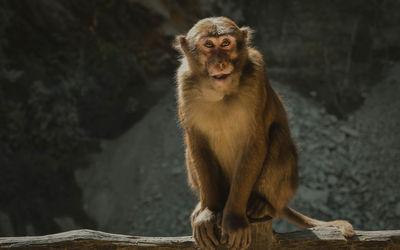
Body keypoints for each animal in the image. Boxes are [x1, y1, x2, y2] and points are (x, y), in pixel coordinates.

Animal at [173, 16, 354, 249]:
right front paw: (209, 212)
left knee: (278, 138)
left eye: (226, 43)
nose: (221, 62)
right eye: (209, 45)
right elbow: (196, 144)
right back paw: (205, 207)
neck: (221, 93)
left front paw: (233, 220)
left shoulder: (256, 76)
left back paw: (261, 203)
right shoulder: (184, 84)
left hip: (280, 190)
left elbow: (255, 142)